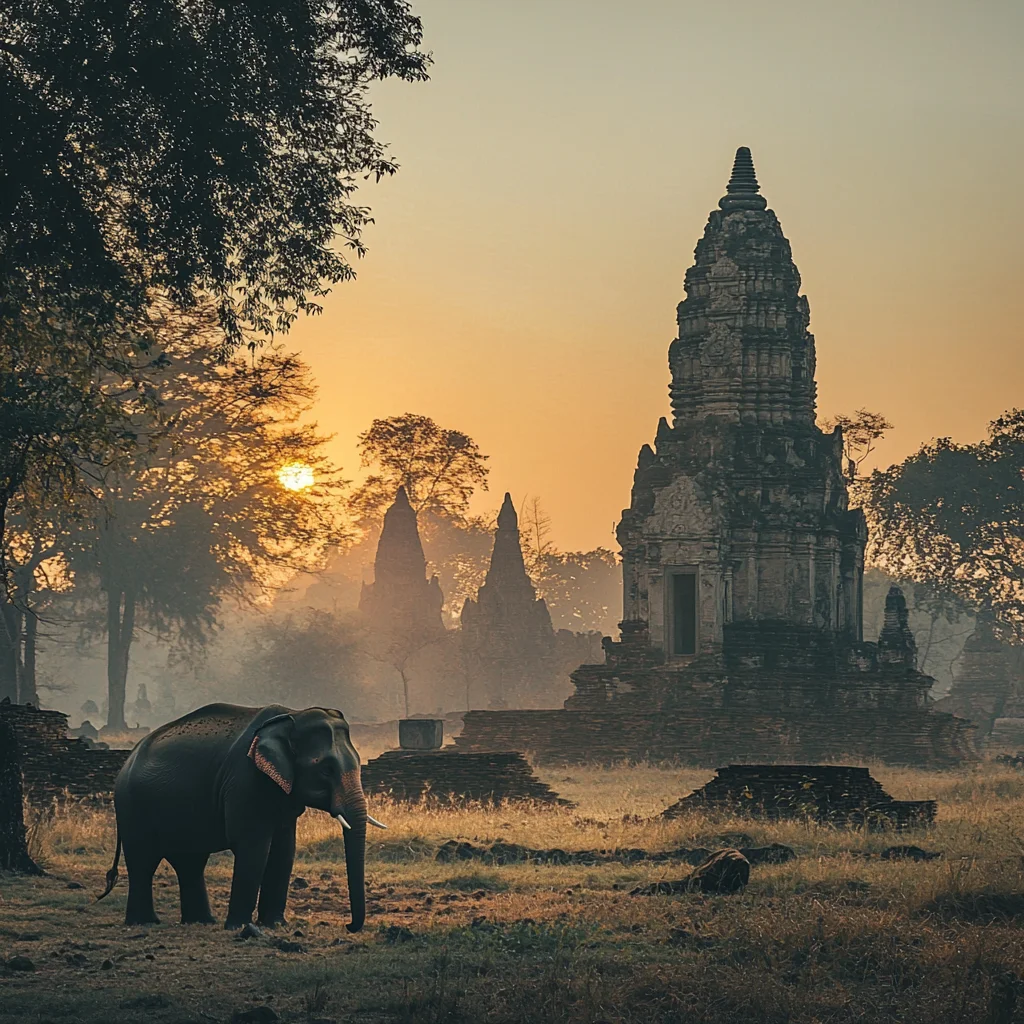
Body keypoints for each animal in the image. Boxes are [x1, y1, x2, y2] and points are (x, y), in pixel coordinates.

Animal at [97, 703, 386, 931]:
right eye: (326, 770)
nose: (349, 926)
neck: (292, 715)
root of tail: (127, 761)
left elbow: (284, 849)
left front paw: (275, 925)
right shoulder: (244, 780)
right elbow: (253, 847)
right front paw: (239, 927)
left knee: (189, 862)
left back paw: (201, 922)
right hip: (132, 808)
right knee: (143, 861)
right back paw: (144, 923)